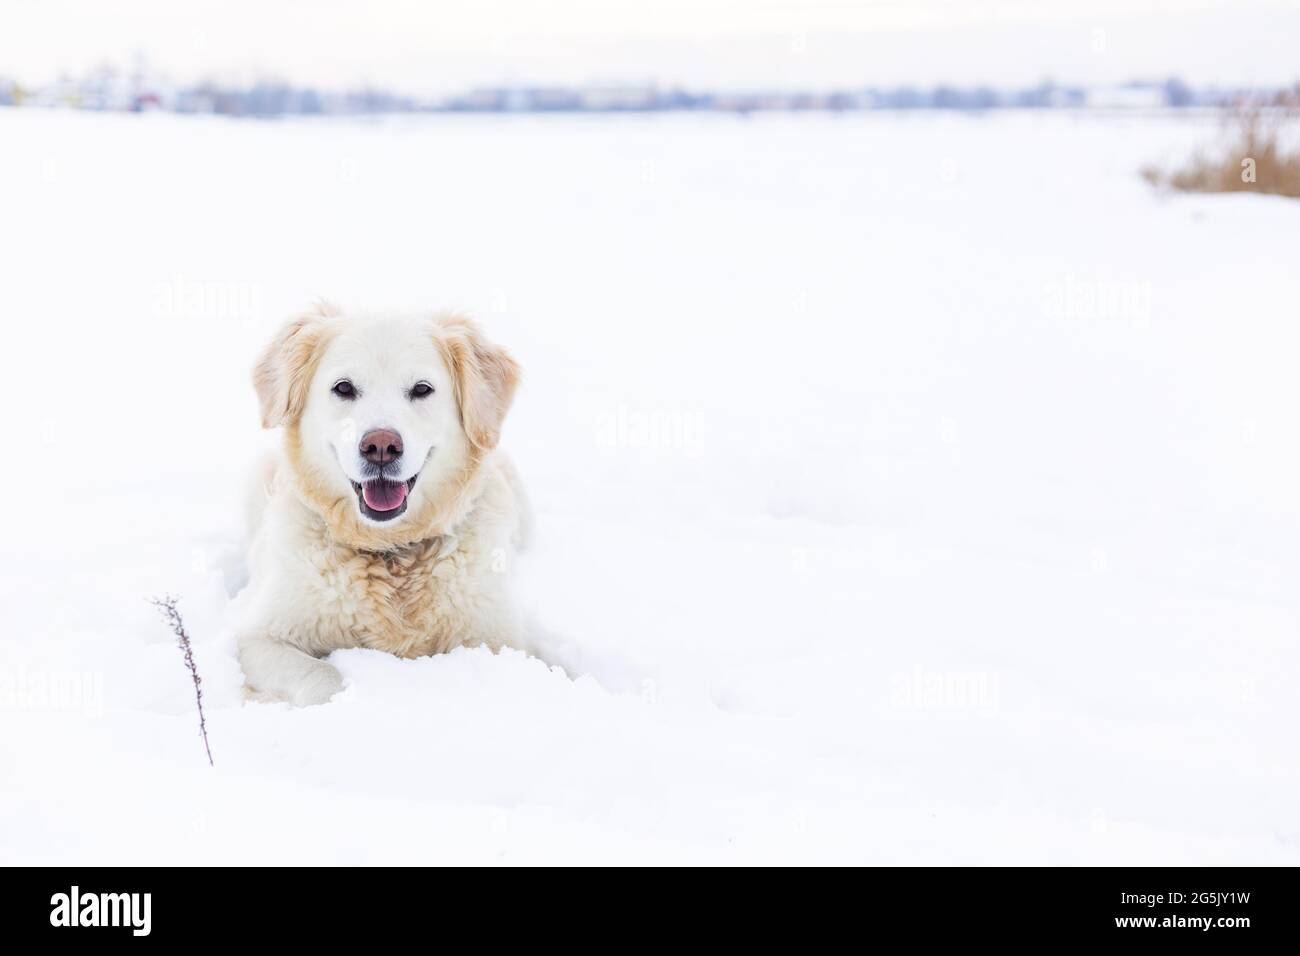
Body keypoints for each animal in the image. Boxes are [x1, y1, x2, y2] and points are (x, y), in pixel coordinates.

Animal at [236, 303, 525, 707]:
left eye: (422, 389)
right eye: (343, 388)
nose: (382, 446)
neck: (390, 551)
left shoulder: (502, 638)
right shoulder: (258, 637)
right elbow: (321, 674)